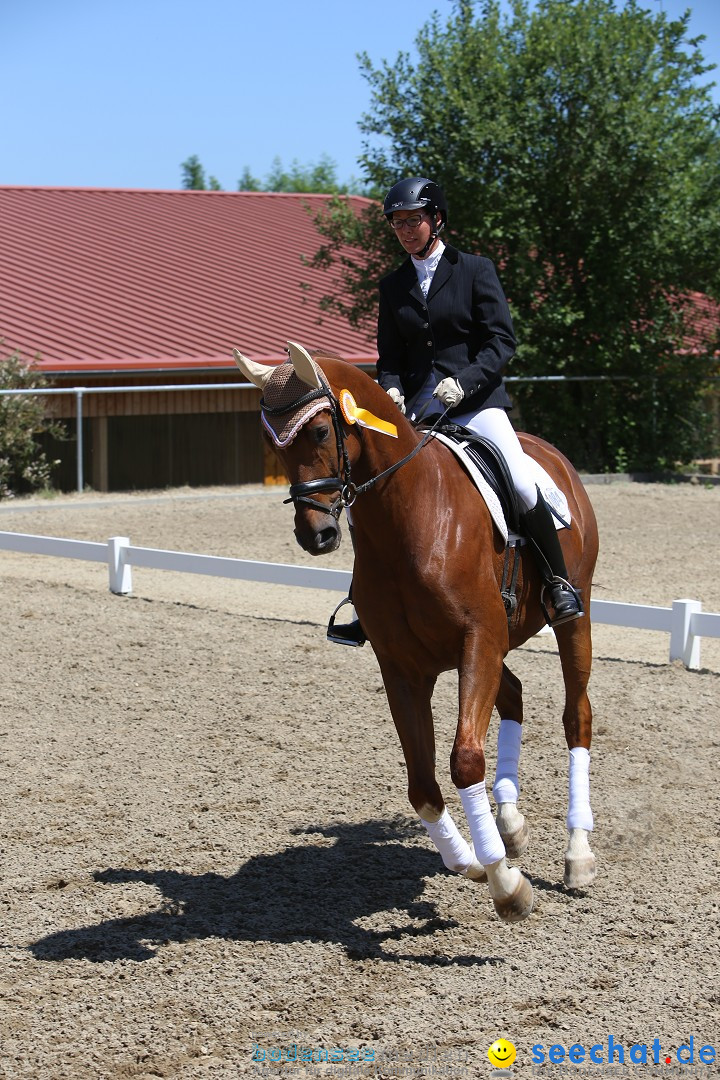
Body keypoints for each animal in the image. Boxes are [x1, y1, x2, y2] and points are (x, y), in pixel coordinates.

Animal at [234, 341, 600, 924]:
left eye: (320, 432)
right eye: (270, 442)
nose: (317, 535)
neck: (409, 518)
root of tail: (549, 452)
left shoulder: (477, 641)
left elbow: (464, 760)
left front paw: (506, 887)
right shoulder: (404, 666)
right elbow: (422, 785)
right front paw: (472, 859)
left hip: (572, 620)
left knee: (576, 717)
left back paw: (578, 856)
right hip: (496, 646)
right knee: (514, 695)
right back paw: (510, 826)